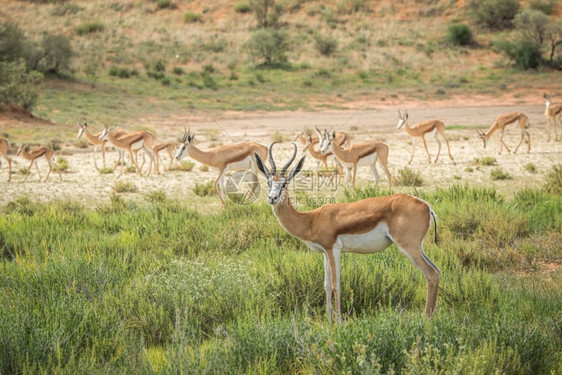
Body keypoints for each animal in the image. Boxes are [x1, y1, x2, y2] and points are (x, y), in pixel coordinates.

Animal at [253, 142, 438, 324]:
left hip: (408, 247)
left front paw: (339, 323)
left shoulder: (333, 249)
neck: (311, 219)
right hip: (417, 248)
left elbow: (336, 285)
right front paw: (329, 322)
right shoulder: (325, 252)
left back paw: (427, 319)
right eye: (269, 182)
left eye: (284, 184)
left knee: (431, 274)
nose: (272, 198)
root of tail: (427, 206)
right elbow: (326, 285)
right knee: (436, 271)